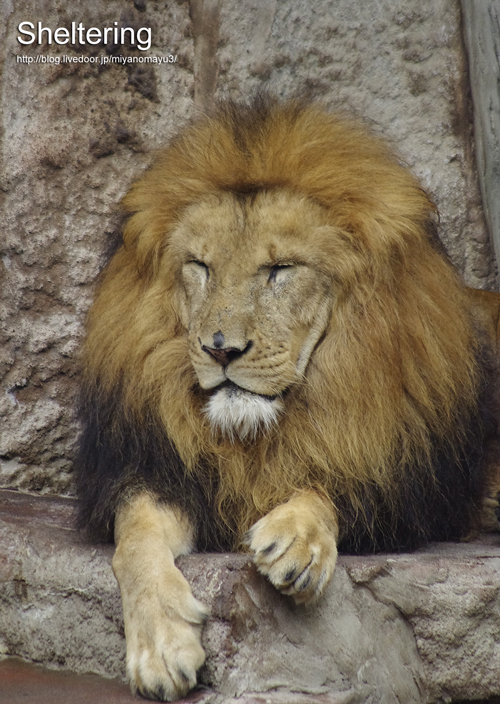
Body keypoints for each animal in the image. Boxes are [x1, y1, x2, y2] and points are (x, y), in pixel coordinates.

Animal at [75, 97, 500, 701]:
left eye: (279, 270)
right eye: (200, 267)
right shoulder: (154, 469)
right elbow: (133, 537)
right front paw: (160, 647)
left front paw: (297, 539)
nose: (221, 349)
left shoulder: (408, 488)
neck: (259, 432)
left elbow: (331, 487)